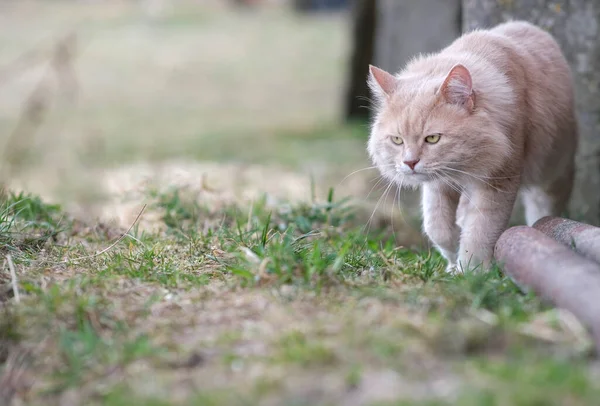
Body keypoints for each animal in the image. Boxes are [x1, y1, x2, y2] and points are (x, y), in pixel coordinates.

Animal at [368, 20, 580, 272]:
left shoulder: (497, 184)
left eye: (432, 139)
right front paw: (452, 260)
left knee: (544, 208)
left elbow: (480, 232)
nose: (410, 162)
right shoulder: (438, 185)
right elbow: (437, 227)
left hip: (553, 172)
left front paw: (470, 272)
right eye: (397, 140)